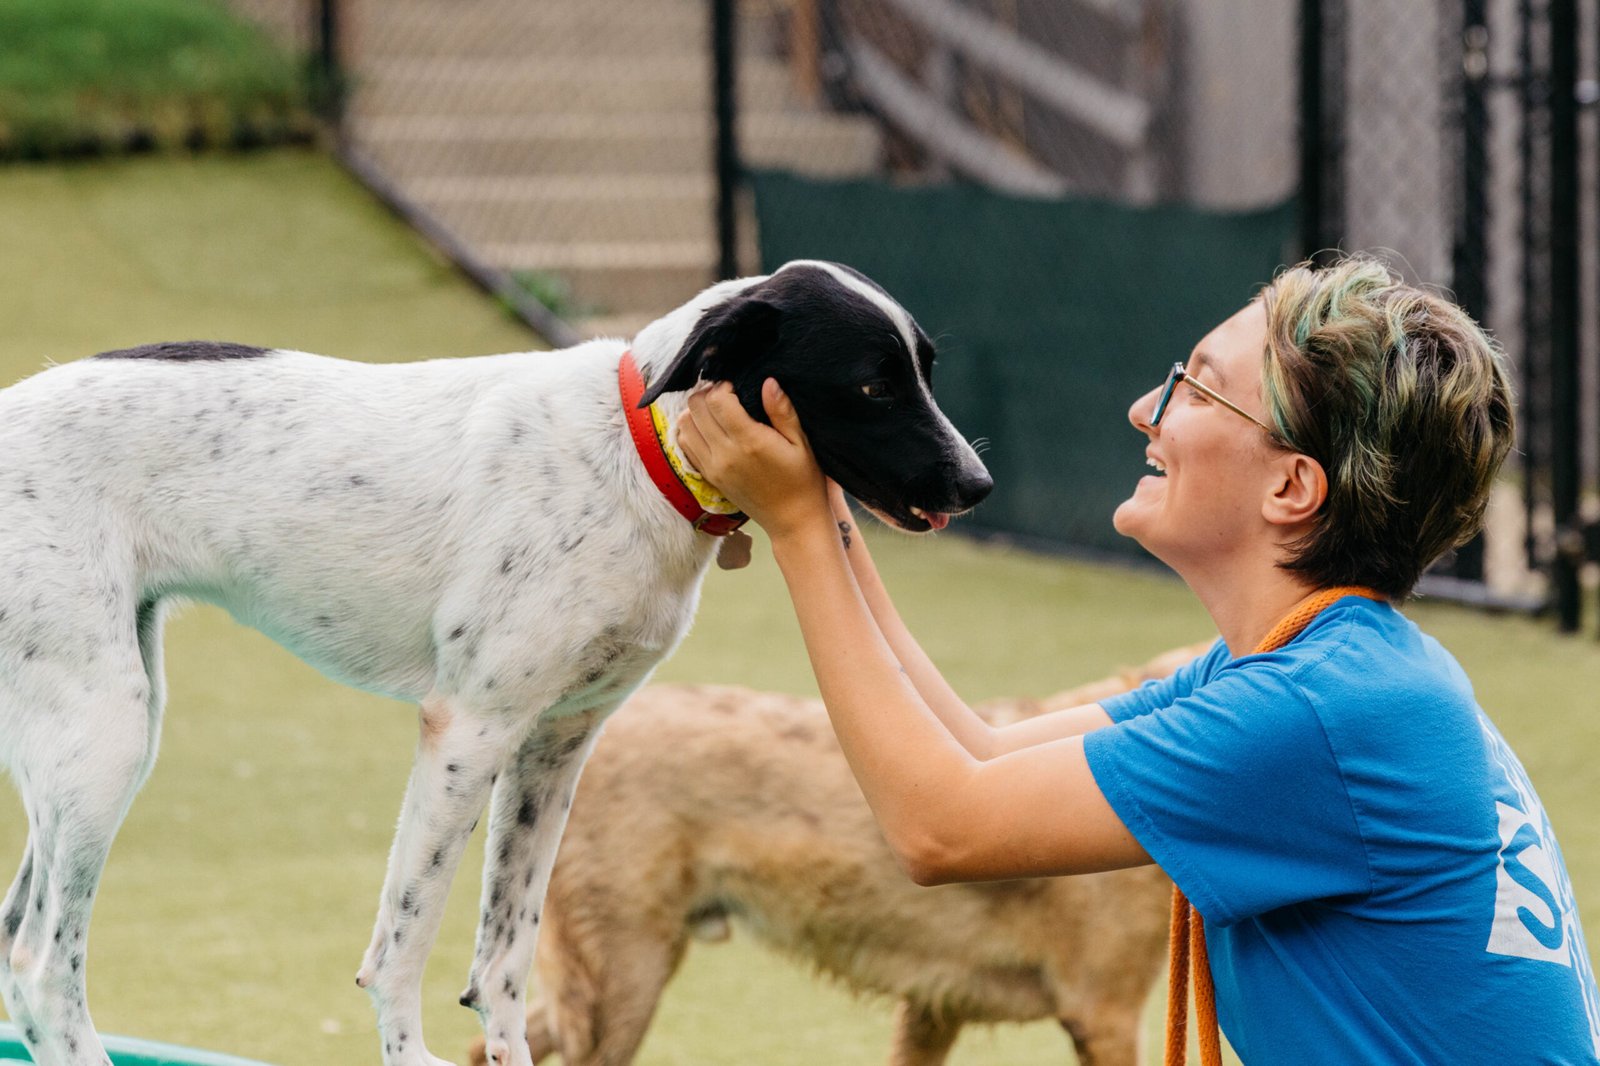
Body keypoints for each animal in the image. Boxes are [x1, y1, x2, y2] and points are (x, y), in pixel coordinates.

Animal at [0, 259, 985, 1062]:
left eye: (927, 371)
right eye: (871, 385)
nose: (977, 485)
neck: (636, 450)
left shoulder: (555, 748)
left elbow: (505, 955)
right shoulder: (467, 731)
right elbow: (403, 944)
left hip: (99, 732)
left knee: (16, 945)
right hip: (106, 733)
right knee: (46, 967)